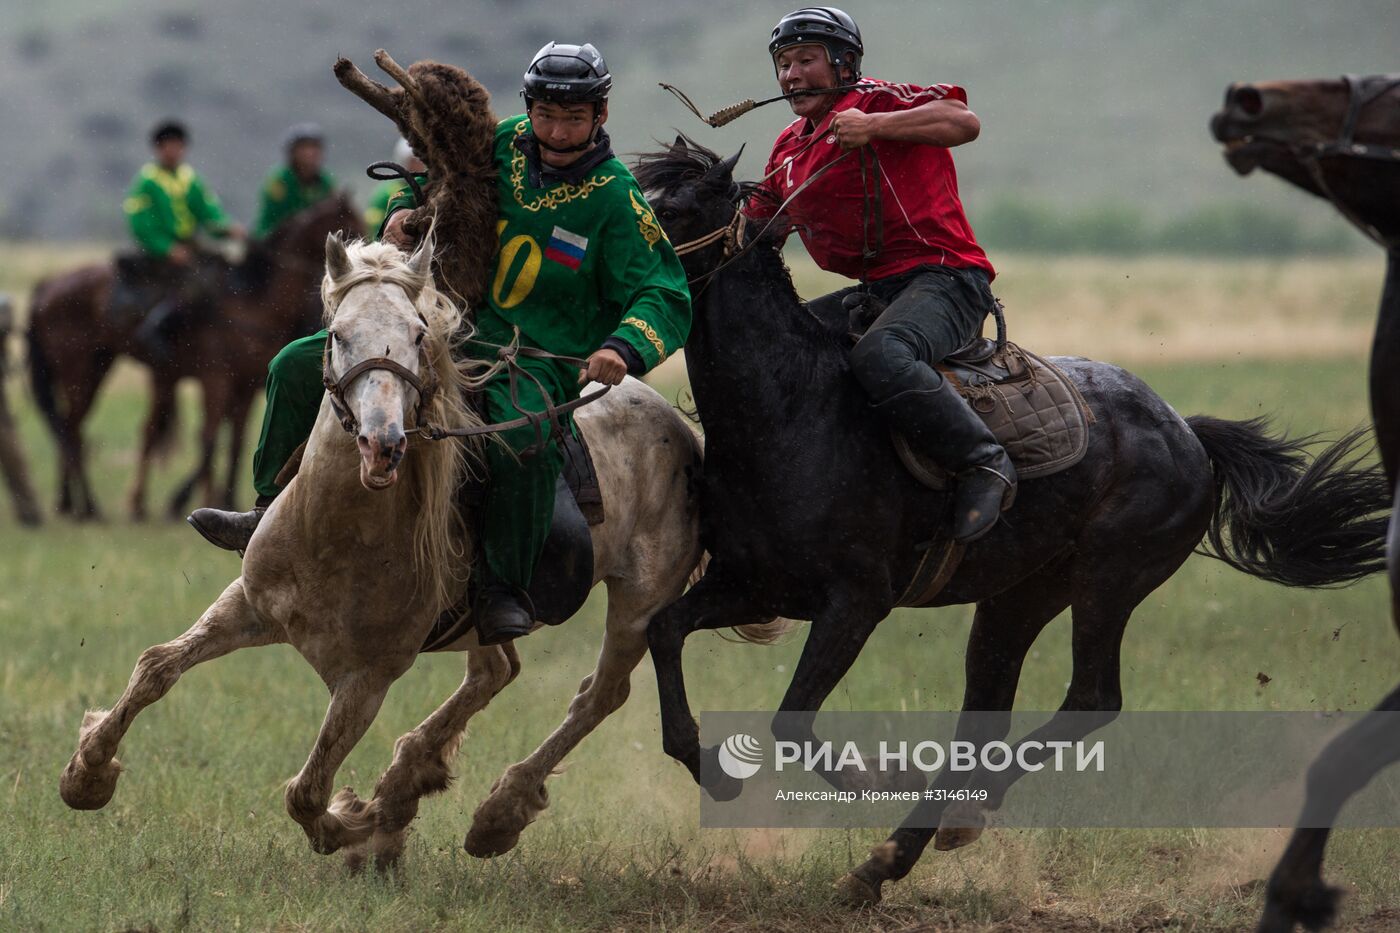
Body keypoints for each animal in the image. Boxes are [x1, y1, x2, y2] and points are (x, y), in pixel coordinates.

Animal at [26, 191, 364, 518]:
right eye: (350, 225)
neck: (253, 303)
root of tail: (46, 285)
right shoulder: (216, 379)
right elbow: (208, 439)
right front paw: (187, 499)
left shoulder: (244, 386)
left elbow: (236, 443)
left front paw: (223, 498)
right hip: (80, 371)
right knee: (74, 429)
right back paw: (90, 505)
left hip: (100, 366)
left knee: (82, 428)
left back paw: (75, 502)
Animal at [632, 137, 1388, 902]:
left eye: (676, 208)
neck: (790, 408)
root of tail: (1188, 433)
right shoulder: (754, 586)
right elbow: (664, 631)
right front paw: (715, 770)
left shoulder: (855, 602)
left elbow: (791, 717)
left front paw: (878, 774)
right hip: (1019, 596)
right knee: (986, 707)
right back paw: (900, 851)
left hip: (1108, 581)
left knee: (1091, 698)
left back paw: (949, 817)